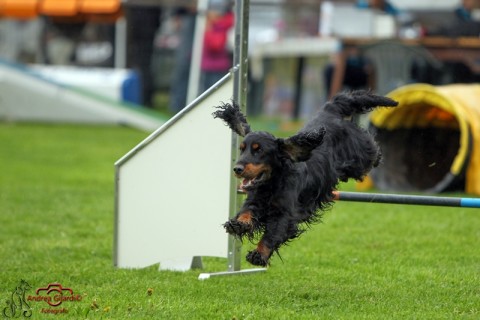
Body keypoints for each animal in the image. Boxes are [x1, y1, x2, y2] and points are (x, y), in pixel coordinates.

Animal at [214, 90, 398, 268]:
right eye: (242, 149)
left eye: (259, 150)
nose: (237, 169)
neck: (272, 183)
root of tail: (330, 110)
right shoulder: (255, 200)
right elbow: (246, 212)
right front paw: (238, 225)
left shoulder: (285, 214)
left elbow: (272, 234)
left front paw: (259, 255)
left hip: (360, 156)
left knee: (371, 150)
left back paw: (377, 157)